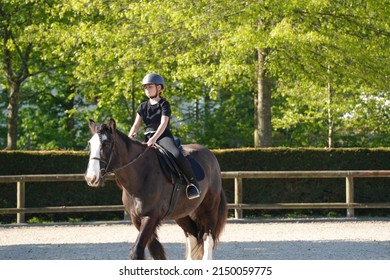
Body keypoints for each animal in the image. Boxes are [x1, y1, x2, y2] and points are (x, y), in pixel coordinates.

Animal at [84, 118, 227, 260]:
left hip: (209, 209)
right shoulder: (136, 218)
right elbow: (155, 251)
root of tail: (210, 154)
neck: (141, 173)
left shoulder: (151, 216)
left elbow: (136, 252)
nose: (91, 178)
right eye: (90, 144)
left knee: (207, 238)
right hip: (182, 212)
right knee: (192, 236)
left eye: (106, 144)